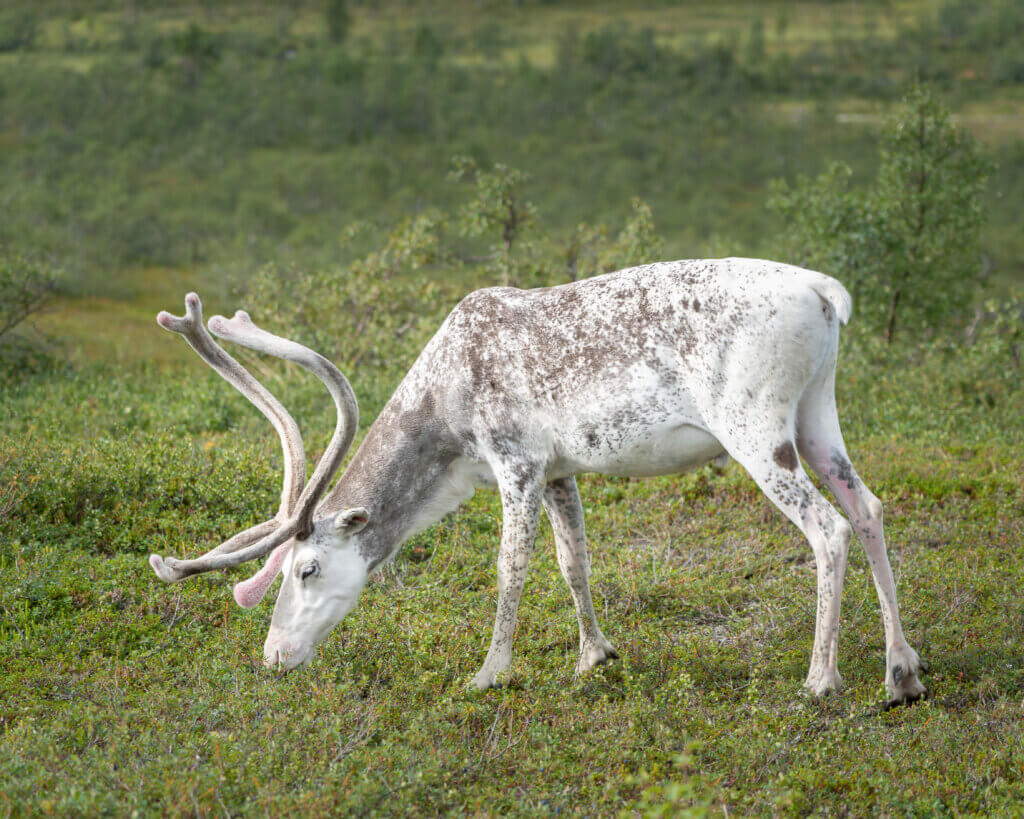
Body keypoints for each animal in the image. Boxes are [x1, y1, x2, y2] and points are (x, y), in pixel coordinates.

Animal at [149, 258, 927, 704]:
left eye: (306, 568)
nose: (274, 655)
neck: (450, 424)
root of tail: (826, 294)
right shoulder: (561, 470)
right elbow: (572, 559)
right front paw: (594, 655)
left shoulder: (515, 459)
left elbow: (511, 566)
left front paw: (489, 671)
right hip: (816, 412)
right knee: (869, 507)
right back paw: (901, 672)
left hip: (756, 425)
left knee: (828, 527)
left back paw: (821, 678)